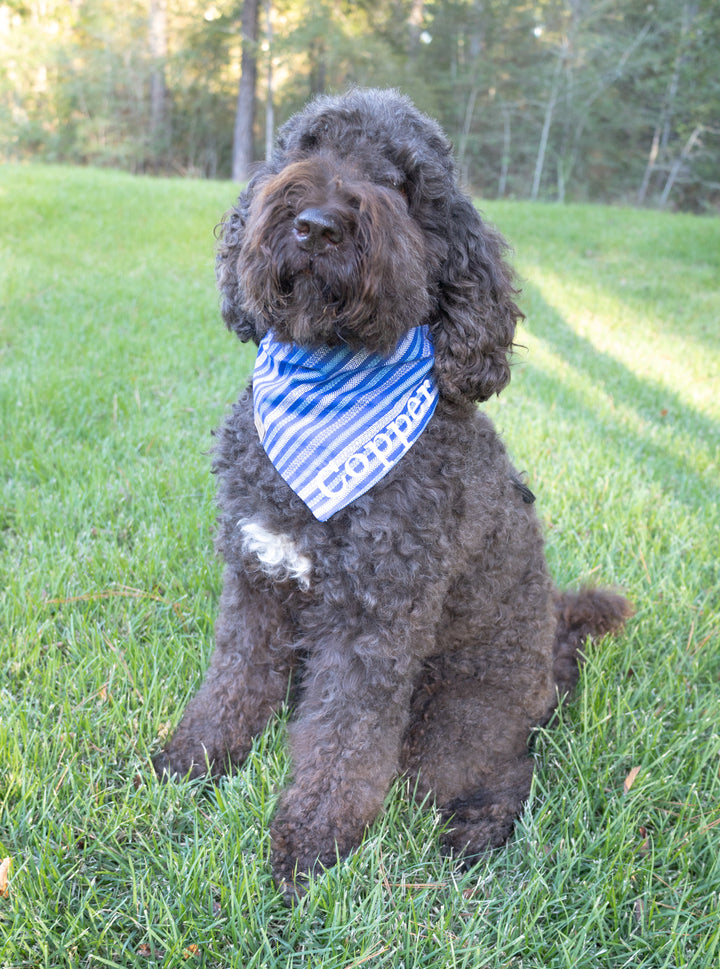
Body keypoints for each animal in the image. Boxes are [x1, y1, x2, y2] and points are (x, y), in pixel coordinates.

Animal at [153, 85, 632, 892]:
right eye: (305, 147)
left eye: (405, 181)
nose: (317, 223)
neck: (329, 379)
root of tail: (553, 650)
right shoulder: (256, 579)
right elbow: (232, 681)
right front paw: (194, 757)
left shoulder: (374, 619)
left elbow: (345, 741)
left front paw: (312, 839)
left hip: (458, 719)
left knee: (503, 769)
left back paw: (476, 834)